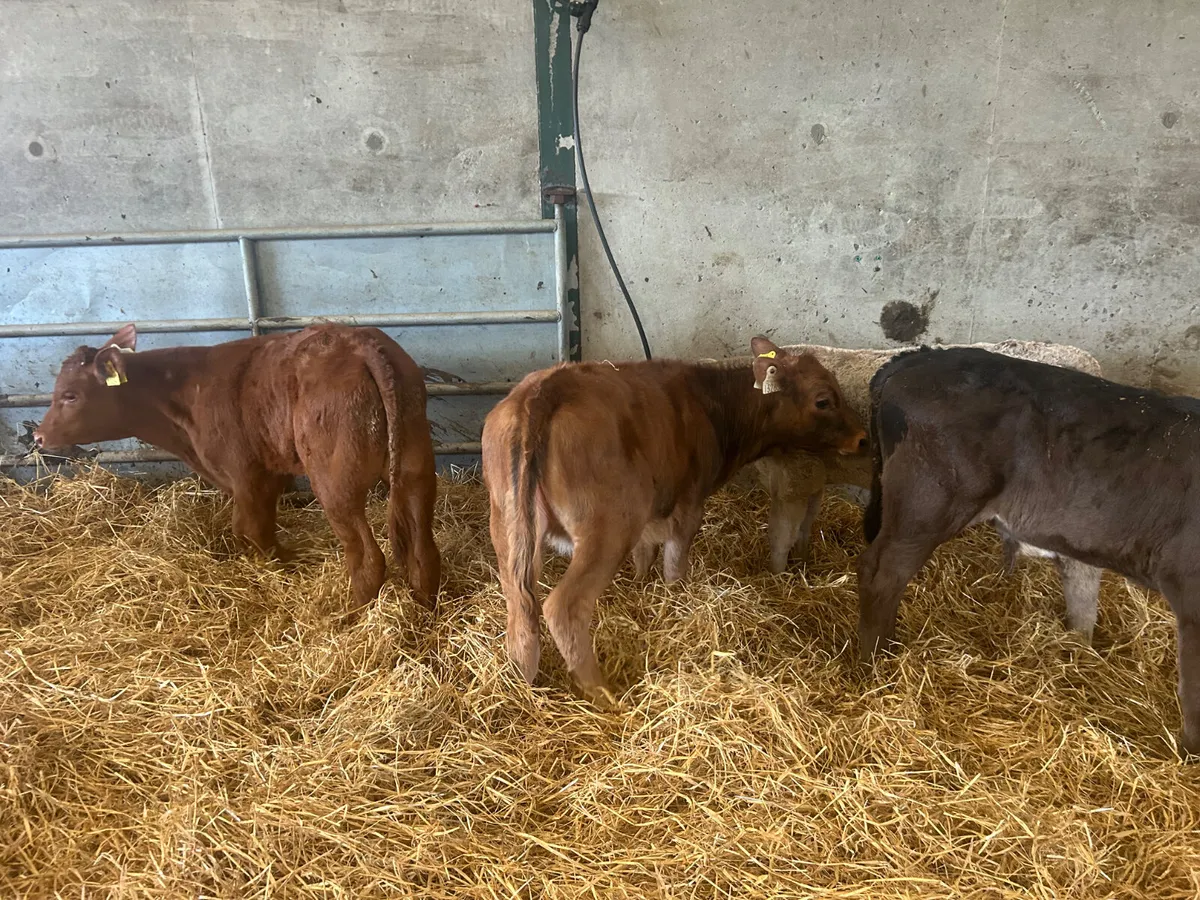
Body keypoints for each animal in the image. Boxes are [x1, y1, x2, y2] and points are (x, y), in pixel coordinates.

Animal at [33, 323, 441, 620]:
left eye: (69, 395)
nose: (38, 436)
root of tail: (358, 343)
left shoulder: (244, 474)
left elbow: (249, 529)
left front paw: (274, 571)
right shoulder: (269, 472)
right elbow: (264, 526)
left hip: (336, 484)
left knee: (368, 557)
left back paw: (351, 617)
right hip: (416, 467)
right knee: (422, 549)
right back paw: (423, 609)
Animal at [481, 336, 868, 708]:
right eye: (823, 400)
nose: (863, 437)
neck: (709, 406)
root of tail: (547, 387)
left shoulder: (653, 514)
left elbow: (644, 555)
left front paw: (641, 590)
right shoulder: (688, 505)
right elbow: (674, 565)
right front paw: (675, 601)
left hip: (509, 528)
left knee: (519, 603)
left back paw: (522, 681)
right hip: (607, 529)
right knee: (563, 607)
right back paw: (602, 694)